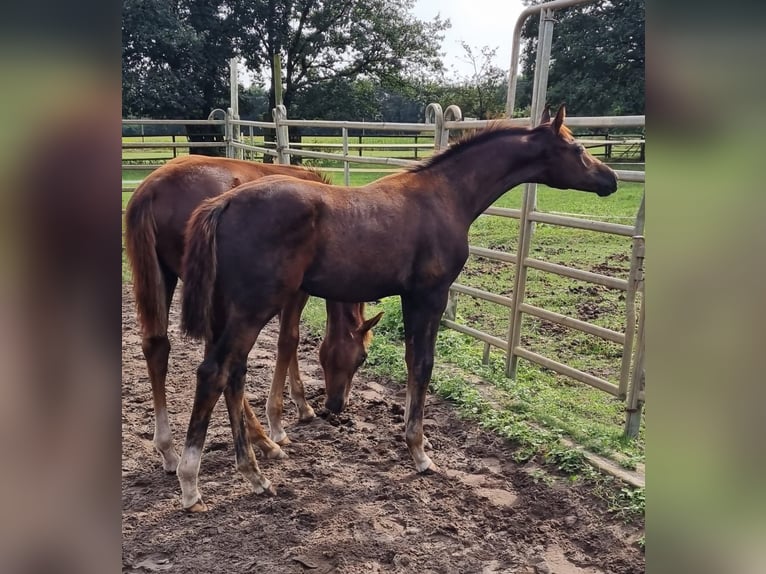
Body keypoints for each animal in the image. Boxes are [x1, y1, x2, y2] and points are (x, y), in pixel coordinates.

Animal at [125, 155, 384, 474]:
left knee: (158, 347)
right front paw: (279, 423)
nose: (337, 405)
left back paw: (169, 451)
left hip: (165, 276)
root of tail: (150, 190)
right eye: (362, 358)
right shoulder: (296, 292)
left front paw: (302, 405)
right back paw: (263, 441)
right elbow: (289, 341)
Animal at [178, 106, 616, 510]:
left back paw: (250, 468)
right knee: (215, 373)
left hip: (233, 309)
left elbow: (410, 362)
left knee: (233, 374)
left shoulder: (409, 297)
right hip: (255, 306)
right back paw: (200, 482)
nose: (609, 179)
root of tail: (224, 203)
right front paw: (419, 452)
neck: (445, 196)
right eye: (578, 148)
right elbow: (423, 365)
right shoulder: (430, 295)